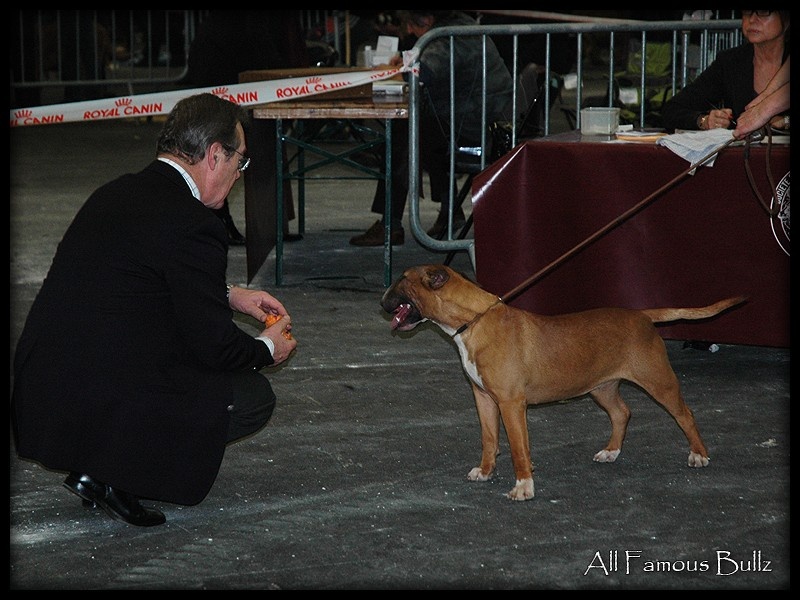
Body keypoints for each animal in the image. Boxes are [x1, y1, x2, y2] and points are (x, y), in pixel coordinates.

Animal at [382, 264, 744, 500]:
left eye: (402, 280)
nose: (381, 300)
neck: (473, 322)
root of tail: (643, 315)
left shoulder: (511, 404)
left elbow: (518, 448)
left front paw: (523, 487)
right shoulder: (484, 398)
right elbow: (489, 439)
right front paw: (484, 472)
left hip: (658, 381)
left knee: (685, 414)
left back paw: (699, 455)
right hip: (601, 387)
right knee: (622, 412)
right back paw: (611, 452)